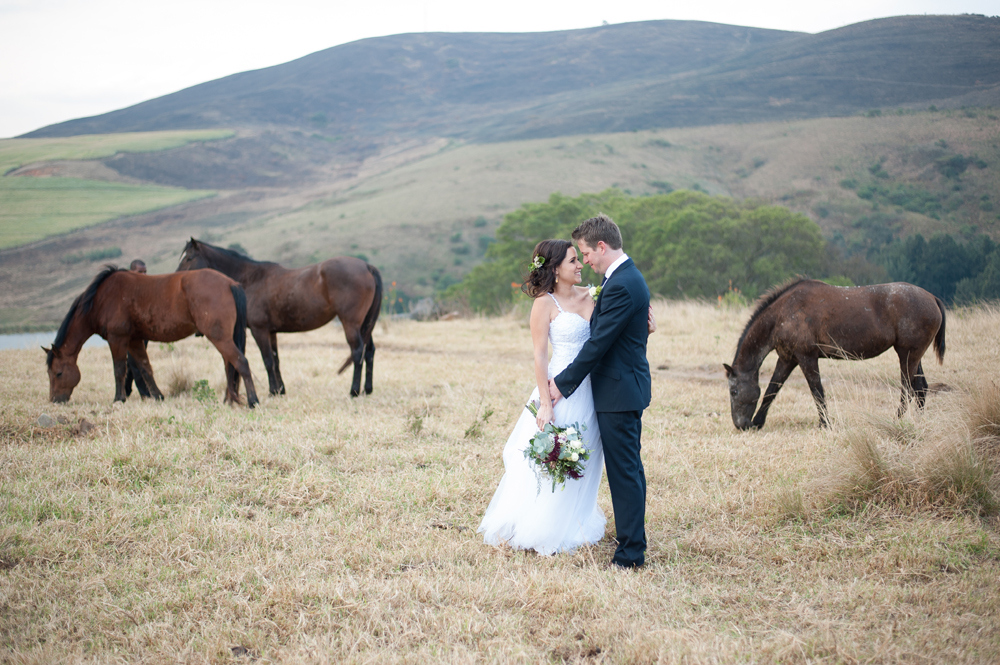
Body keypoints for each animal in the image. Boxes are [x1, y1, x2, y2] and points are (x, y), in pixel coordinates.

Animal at [46, 268, 258, 408]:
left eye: (58, 373)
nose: (54, 400)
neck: (100, 299)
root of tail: (230, 283)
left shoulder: (117, 339)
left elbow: (118, 369)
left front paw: (118, 399)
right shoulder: (134, 340)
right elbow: (145, 367)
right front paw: (157, 396)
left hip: (220, 338)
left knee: (241, 362)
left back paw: (252, 400)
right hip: (223, 338)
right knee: (230, 365)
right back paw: (229, 400)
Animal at [176, 239, 382, 394]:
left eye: (189, 258)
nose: (176, 278)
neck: (251, 279)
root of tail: (367, 266)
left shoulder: (259, 330)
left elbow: (267, 360)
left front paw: (272, 391)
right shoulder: (271, 332)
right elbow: (276, 360)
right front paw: (281, 390)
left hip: (351, 323)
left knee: (357, 351)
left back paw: (354, 391)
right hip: (364, 324)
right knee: (370, 351)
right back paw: (367, 389)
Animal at [728, 278, 944, 428]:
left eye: (733, 391)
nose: (741, 425)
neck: (784, 312)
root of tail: (932, 297)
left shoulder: (806, 358)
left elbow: (817, 391)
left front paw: (825, 424)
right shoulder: (787, 358)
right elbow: (771, 390)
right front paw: (758, 422)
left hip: (907, 355)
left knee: (907, 389)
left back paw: (897, 420)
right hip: (912, 355)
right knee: (920, 388)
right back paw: (918, 421)